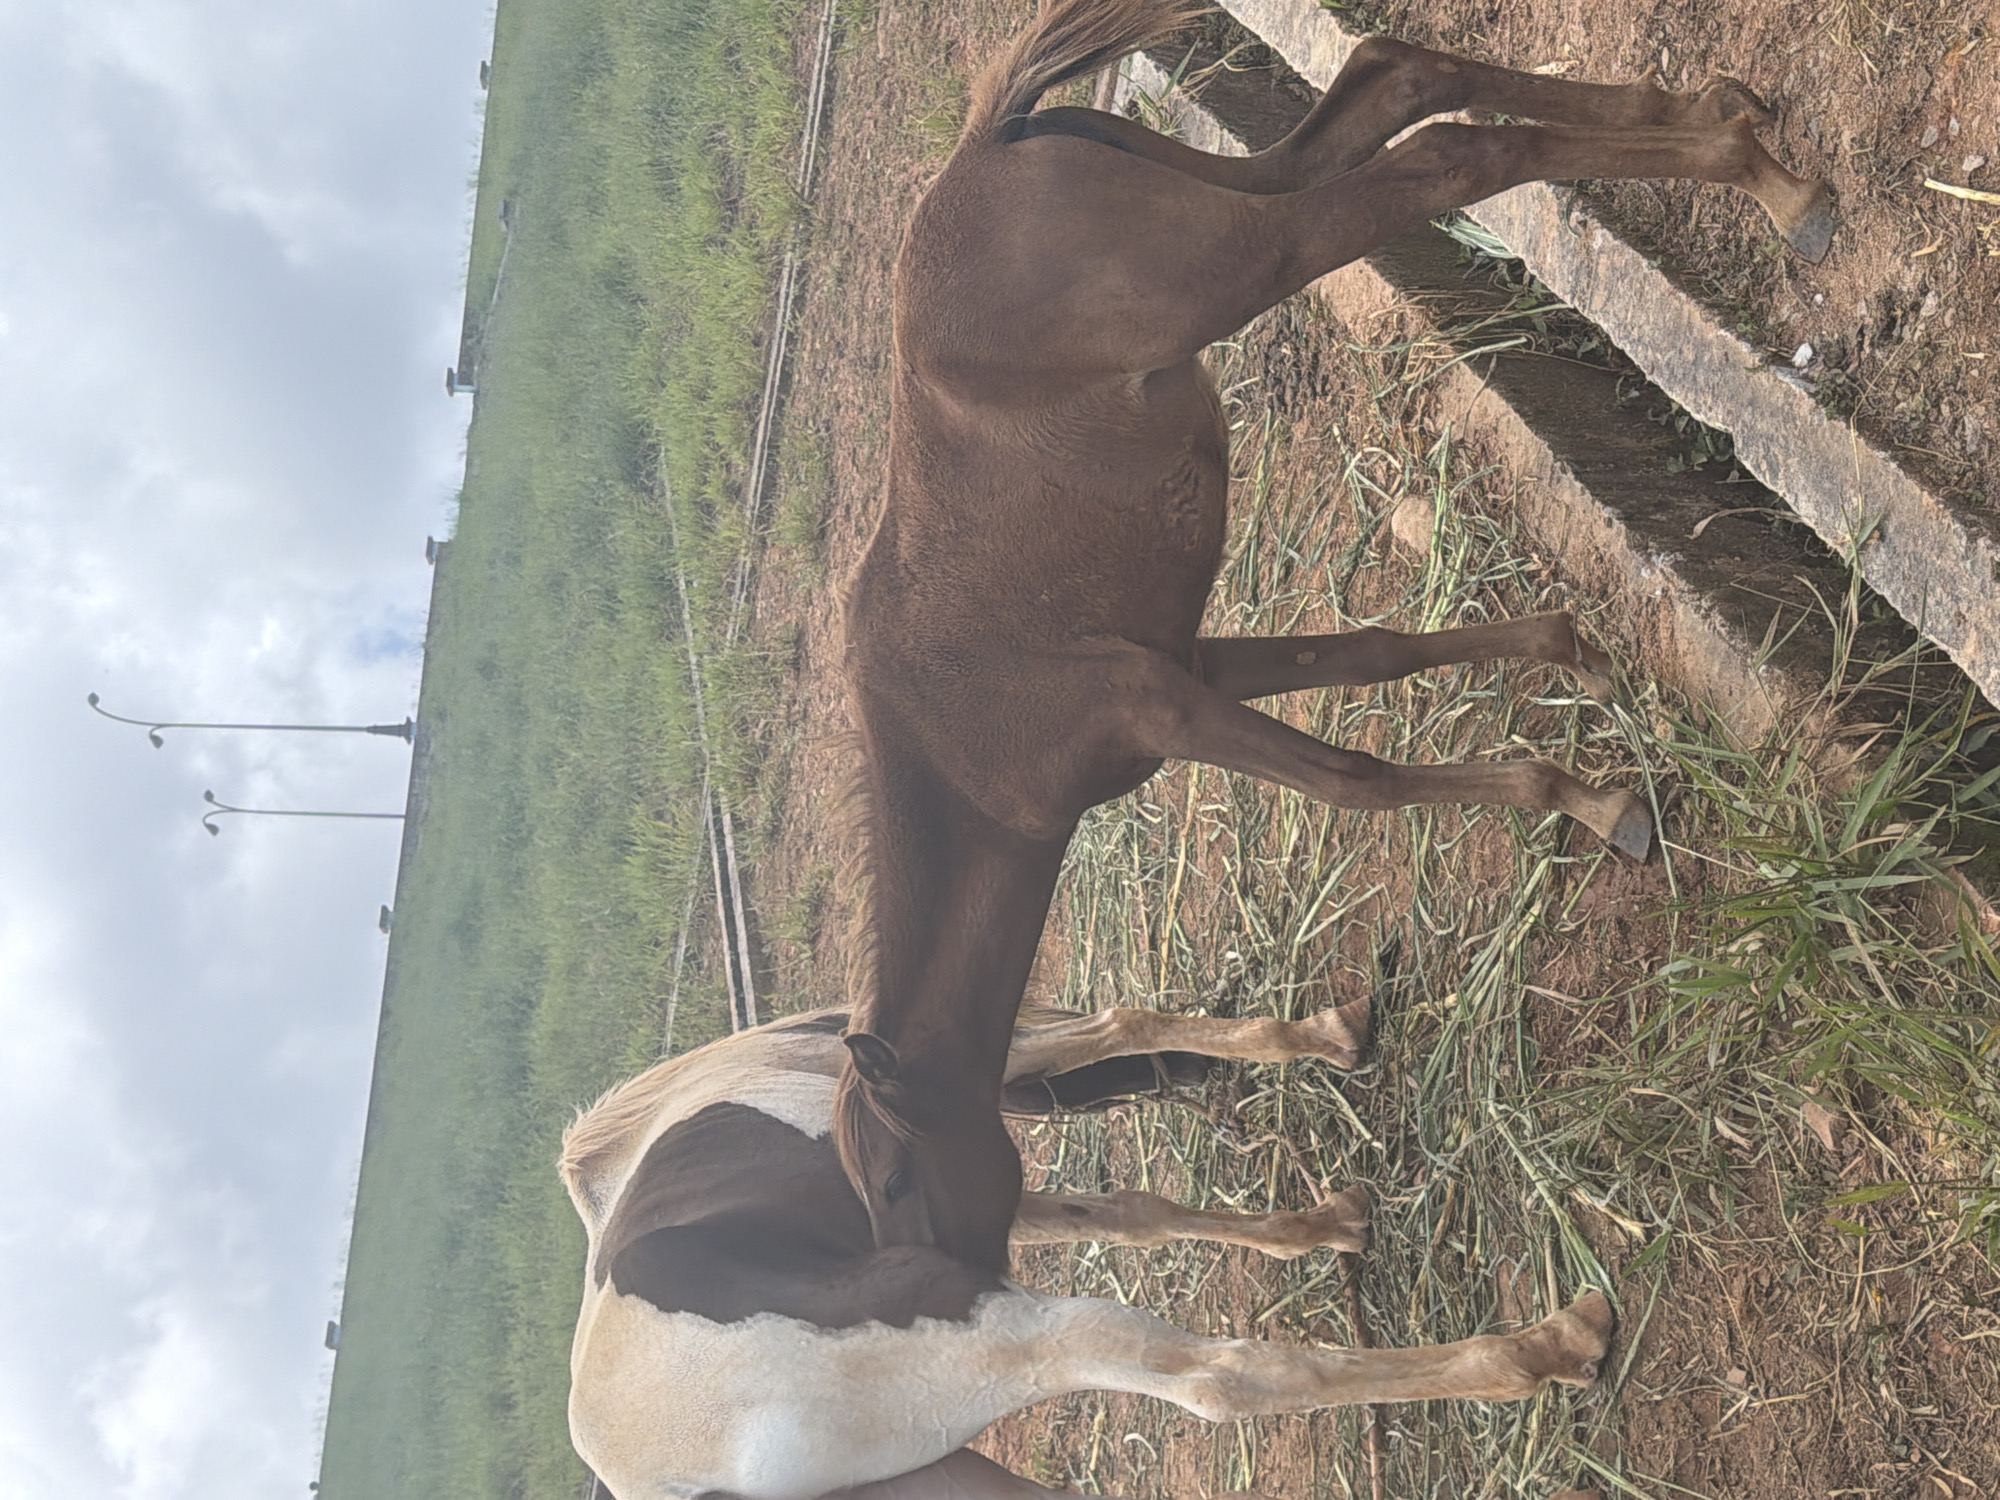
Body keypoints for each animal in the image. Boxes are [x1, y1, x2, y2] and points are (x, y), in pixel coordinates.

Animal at [563, 1007, 1615, 1500]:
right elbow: (1116, 1028)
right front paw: (1323, 1035)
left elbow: (1129, 1213)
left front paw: (1329, 1223)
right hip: (1007, 1336)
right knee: (1227, 1378)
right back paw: (1548, 1345)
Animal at [830, 0, 1833, 1266]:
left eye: (893, 1184)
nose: (963, 1283)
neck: (960, 746)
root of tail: (983, 149)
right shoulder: (1189, 665)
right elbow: (1372, 652)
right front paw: (1569, 659)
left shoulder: (1163, 702)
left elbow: (1358, 779)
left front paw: (1586, 801)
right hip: (1221, 195)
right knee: (1392, 81)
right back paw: (1741, 137)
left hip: (1239, 258)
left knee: (1449, 156)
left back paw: (1762, 179)